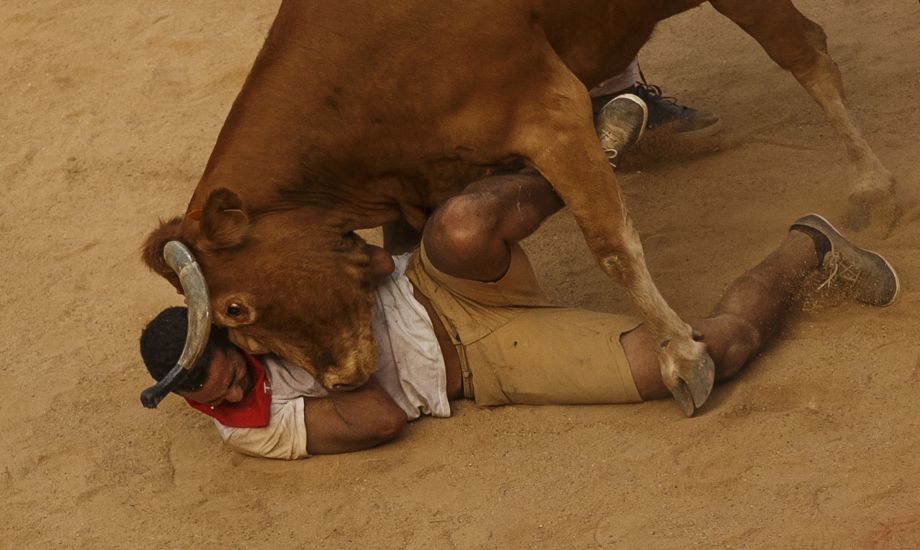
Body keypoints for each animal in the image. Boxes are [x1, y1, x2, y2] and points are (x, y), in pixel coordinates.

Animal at [140, 0, 896, 414]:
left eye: (236, 308)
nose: (343, 380)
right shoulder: (425, 184)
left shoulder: (548, 110)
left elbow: (610, 240)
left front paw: (683, 356)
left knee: (806, 52)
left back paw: (874, 187)